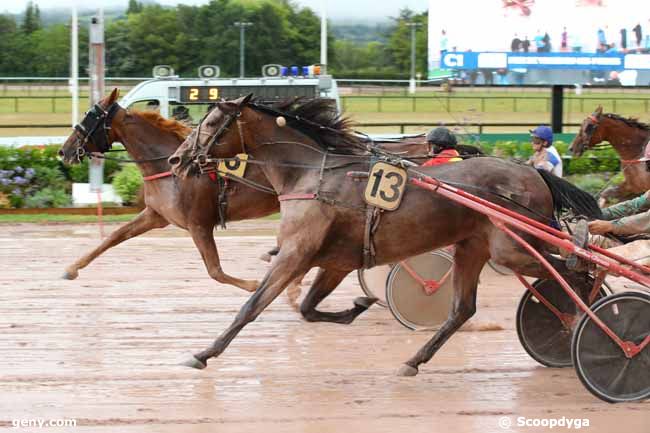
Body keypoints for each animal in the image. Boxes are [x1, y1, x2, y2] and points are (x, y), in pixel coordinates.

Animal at [168, 95, 596, 372]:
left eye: (210, 124)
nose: (177, 158)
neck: (310, 176)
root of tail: (534, 173)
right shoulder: (334, 261)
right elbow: (308, 309)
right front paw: (358, 305)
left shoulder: (295, 254)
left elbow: (251, 306)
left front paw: (203, 354)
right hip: (472, 247)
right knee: (462, 309)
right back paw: (414, 361)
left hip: (513, 248)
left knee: (577, 271)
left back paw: (584, 322)